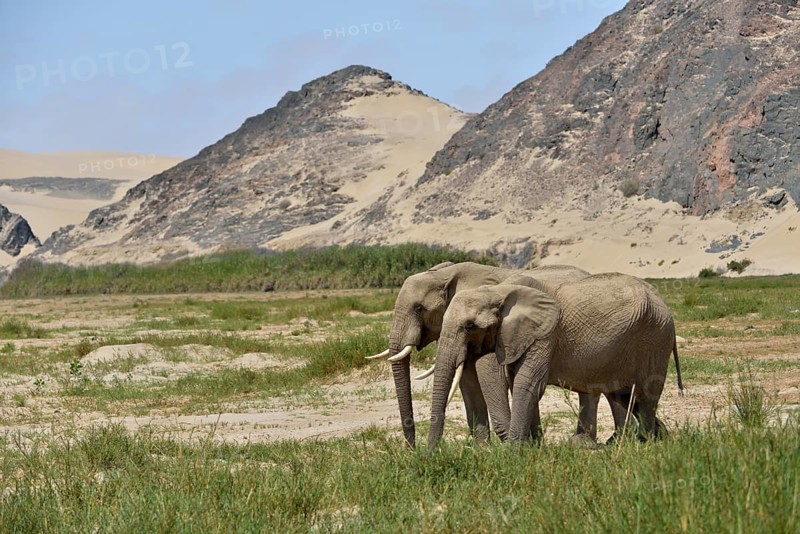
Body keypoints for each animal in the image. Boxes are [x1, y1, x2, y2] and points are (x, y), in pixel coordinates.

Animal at [365, 261, 591, 448]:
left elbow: (489, 375)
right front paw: (484, 450)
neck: (446, 274)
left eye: (419, 308)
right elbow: (467, 381)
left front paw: (509, 446)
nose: (413, 450)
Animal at [427, 273, 684, 448]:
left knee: (646, 394)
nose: (431, 452)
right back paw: (629, 441)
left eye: (470, 326)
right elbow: (520, 383)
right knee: (621, 394)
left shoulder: (545, 334)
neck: (497, 291)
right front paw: (531, 447)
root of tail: (664, 304)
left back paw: (645, 442)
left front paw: (513, 450)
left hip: (655, 337)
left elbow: (528, 384)